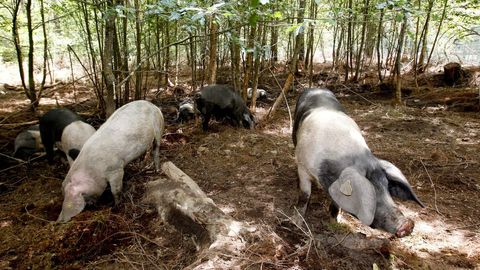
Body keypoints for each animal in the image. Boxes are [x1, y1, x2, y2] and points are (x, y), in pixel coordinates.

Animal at [292, 88, 424, 236]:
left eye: (386, 187)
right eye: (366, 192)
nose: (407, 224)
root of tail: (316, 88)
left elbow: (336, 202)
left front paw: (336, 222)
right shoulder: (303, 167)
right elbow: (304, 196)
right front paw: (295, 223)